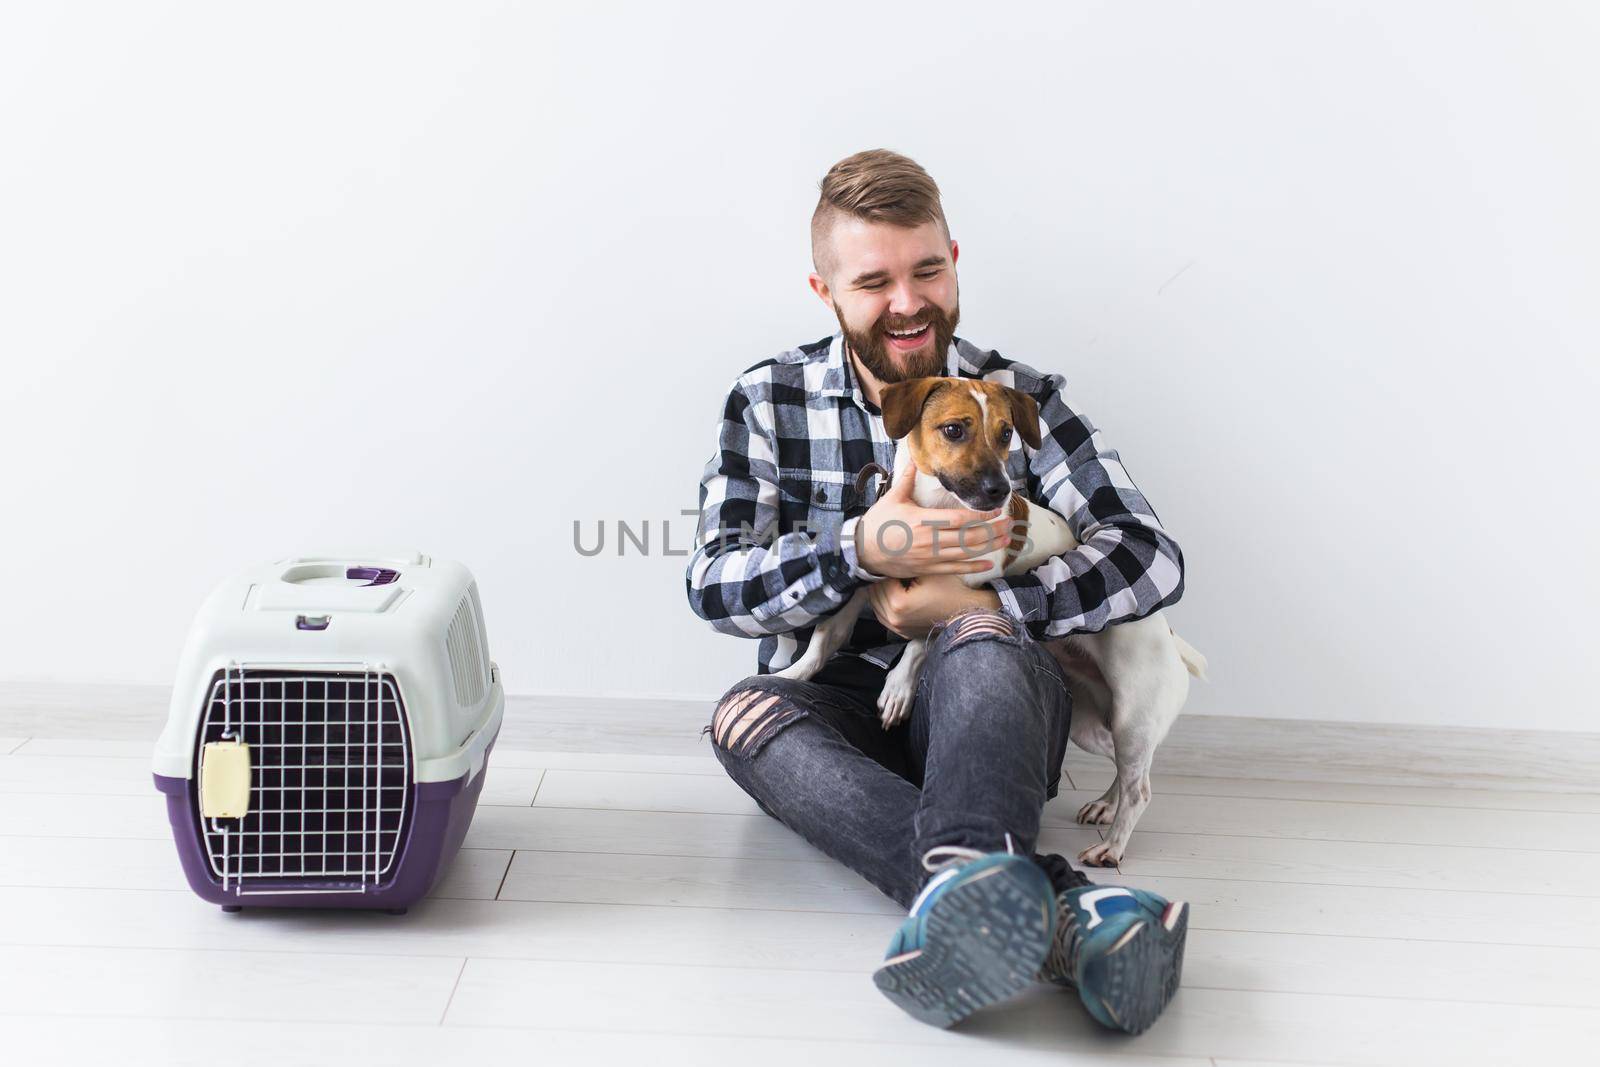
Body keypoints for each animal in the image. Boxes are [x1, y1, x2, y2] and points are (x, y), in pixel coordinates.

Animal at [777, 375, 1209, 870]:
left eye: (1006, 434)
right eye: (953, 430)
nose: (999, 491)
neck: (935, 513)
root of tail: (1172, 640)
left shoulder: (950, 595)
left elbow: (917, 644)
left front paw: (898, 688)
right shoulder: (863, 582)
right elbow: (825, 637)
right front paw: (794, 673)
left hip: (1133, 719)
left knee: (1141, 787)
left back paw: (1112, 846)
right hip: (1093, 725)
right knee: (1127, 768)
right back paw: (1105, 804)